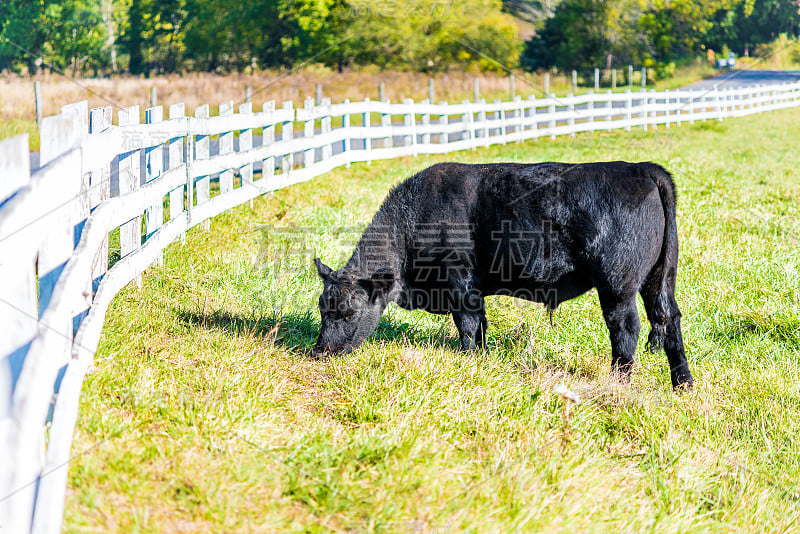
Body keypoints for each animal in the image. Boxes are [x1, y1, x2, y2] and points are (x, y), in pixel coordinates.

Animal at [312, 161, 692, 392]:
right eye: (322, 310)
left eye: (349, 313)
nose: (318, 352)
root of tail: (642, 169)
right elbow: (480, 326)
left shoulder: (461, 285)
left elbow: (468, 326)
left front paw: (468, 360)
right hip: (659, 279)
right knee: (669, 318)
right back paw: (682, 383)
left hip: (617, 284)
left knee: (625, 328)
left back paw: (617, 382)